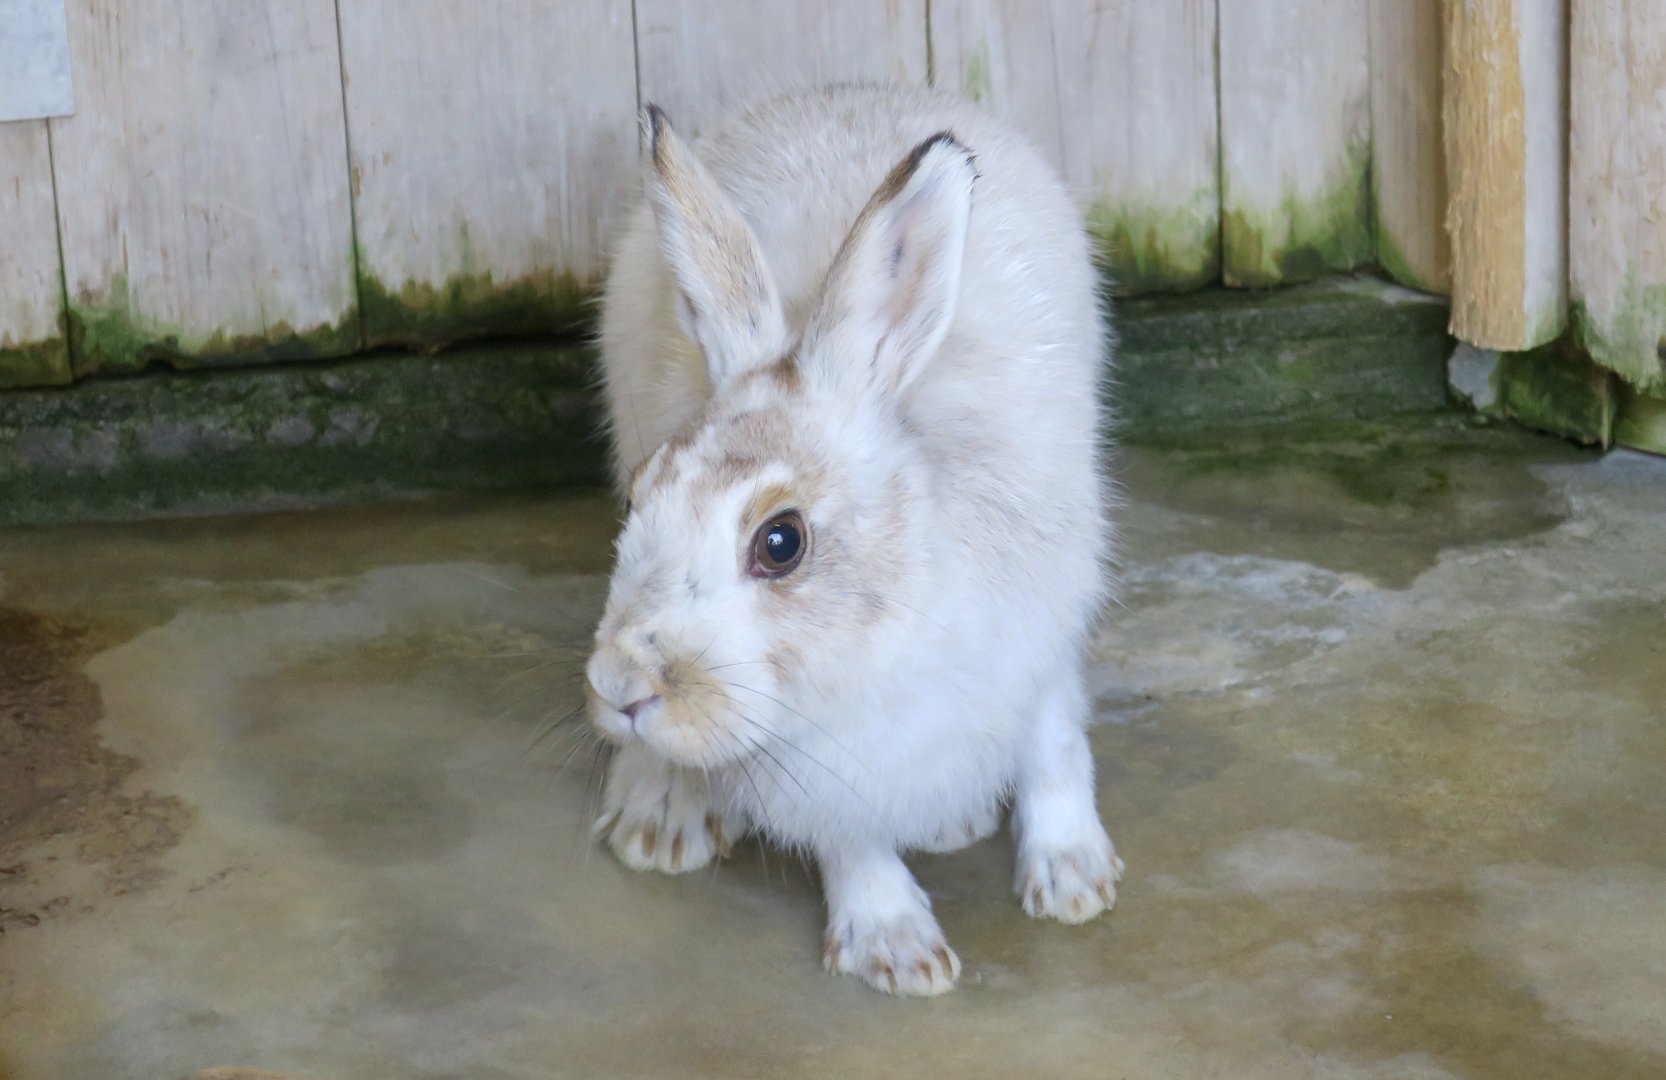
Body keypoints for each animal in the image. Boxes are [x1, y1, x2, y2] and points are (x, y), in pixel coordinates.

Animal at [585, 82, 1122, 996]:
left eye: (780, 542)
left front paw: (1074, 881)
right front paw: (897, 951)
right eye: (639, 494)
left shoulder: (1041, 640)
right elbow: (855, 842)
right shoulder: (827, 776)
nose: (619, 688)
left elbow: (1055, 750)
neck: (883, 623)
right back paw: (660, 823)